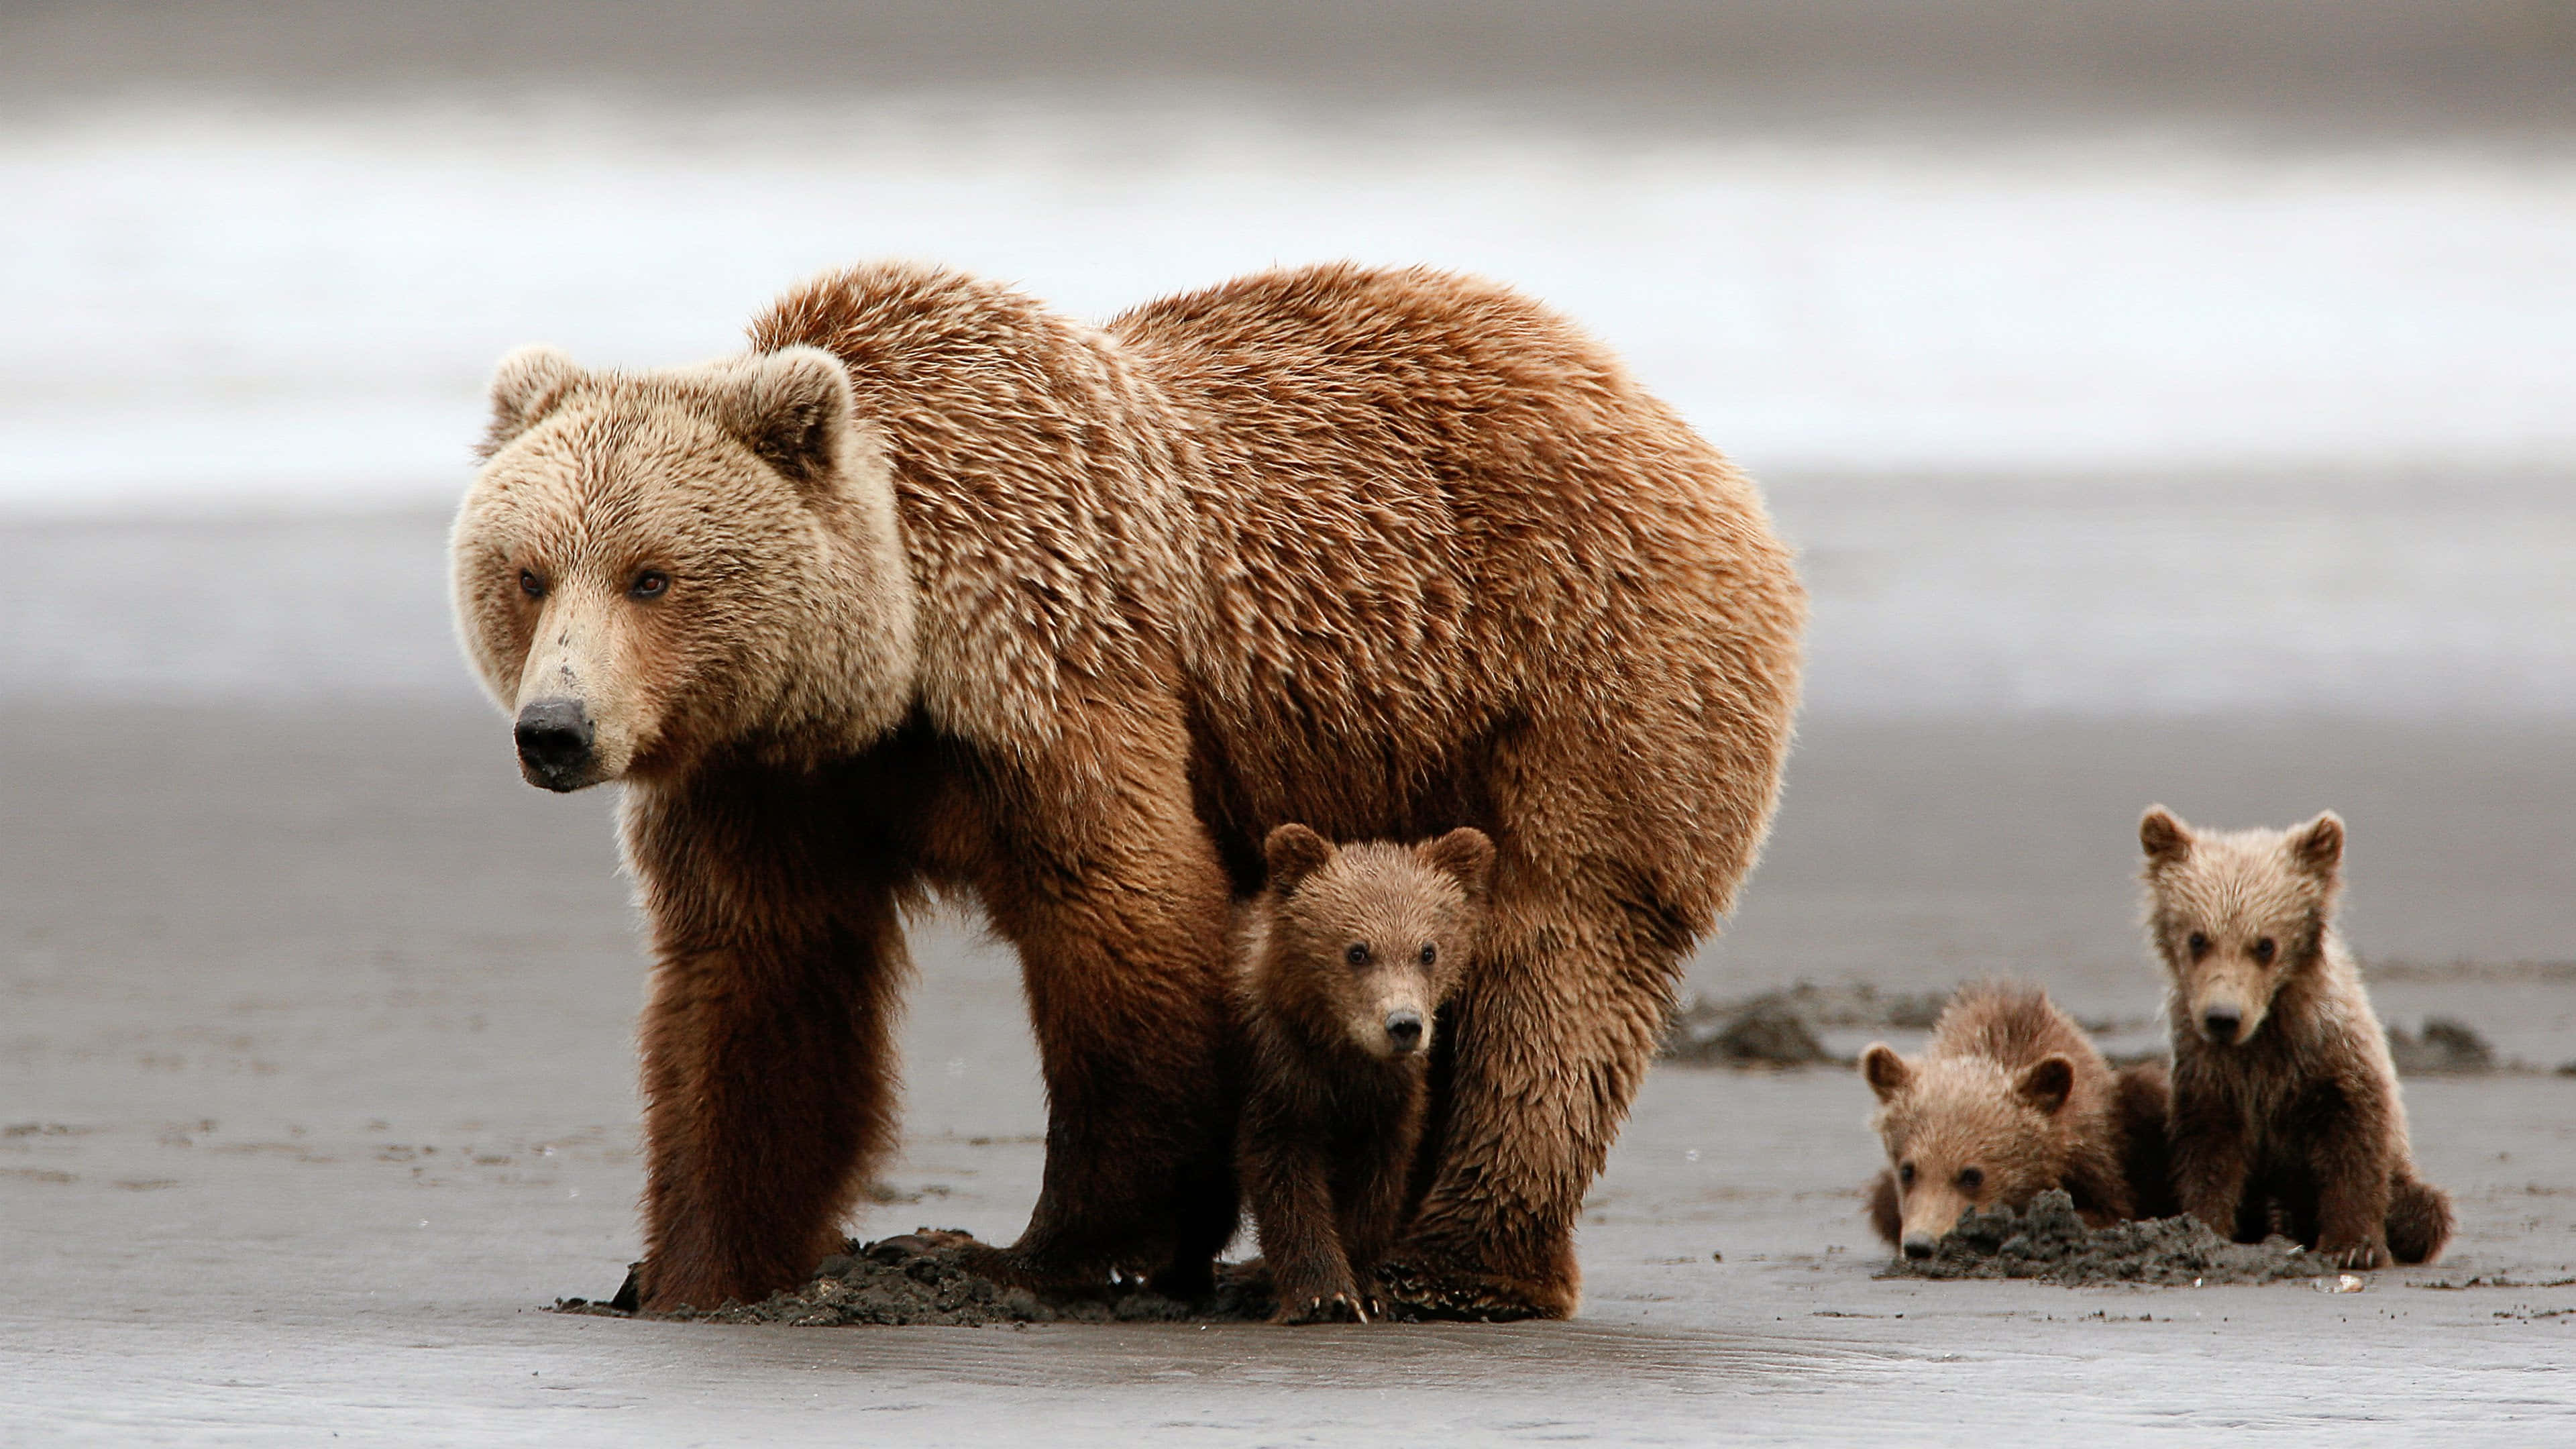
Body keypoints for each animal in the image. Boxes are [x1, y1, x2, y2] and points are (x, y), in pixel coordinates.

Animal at [1234, 823, 1495, 1325]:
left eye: (1428, 950)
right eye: (1357, 951)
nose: (1404, 1025)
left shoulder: (1392, 1098)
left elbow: (1378, 1182)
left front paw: (1367, 1288)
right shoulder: (1279, 1073)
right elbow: (1285, 1178)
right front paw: (1324, 1295)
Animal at [2138, 807, 2454, 1268]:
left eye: (2265, 945)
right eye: (2198, 938)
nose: (2222, 1018)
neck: (2265, 1035)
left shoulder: (2331, 1056)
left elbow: (2356, 1141)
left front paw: (2353, 1246)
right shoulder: (2210, 1072)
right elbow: (2208, 1151)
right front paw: (2201, 1228)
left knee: (2428, 1208)